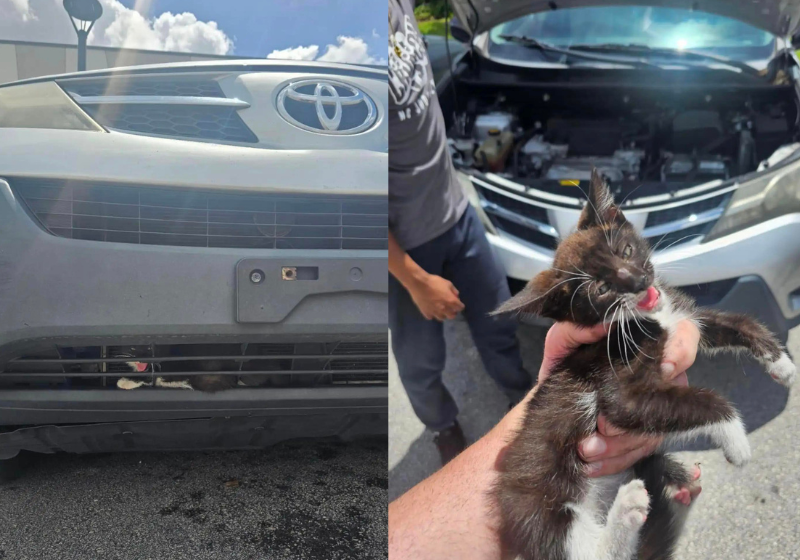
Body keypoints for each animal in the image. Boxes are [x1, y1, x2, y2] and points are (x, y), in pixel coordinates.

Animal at [494, 170, 792, 560]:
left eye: (626, 250)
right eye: (601, 289)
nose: (638, 281)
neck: (646, 317)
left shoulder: (684, 317)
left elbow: (738, 323)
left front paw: (780, 362)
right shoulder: (617, 383)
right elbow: (700, 400)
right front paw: (736, 440)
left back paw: (679, 483)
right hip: (538, 505)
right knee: (590, 550)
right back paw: (630, 507)